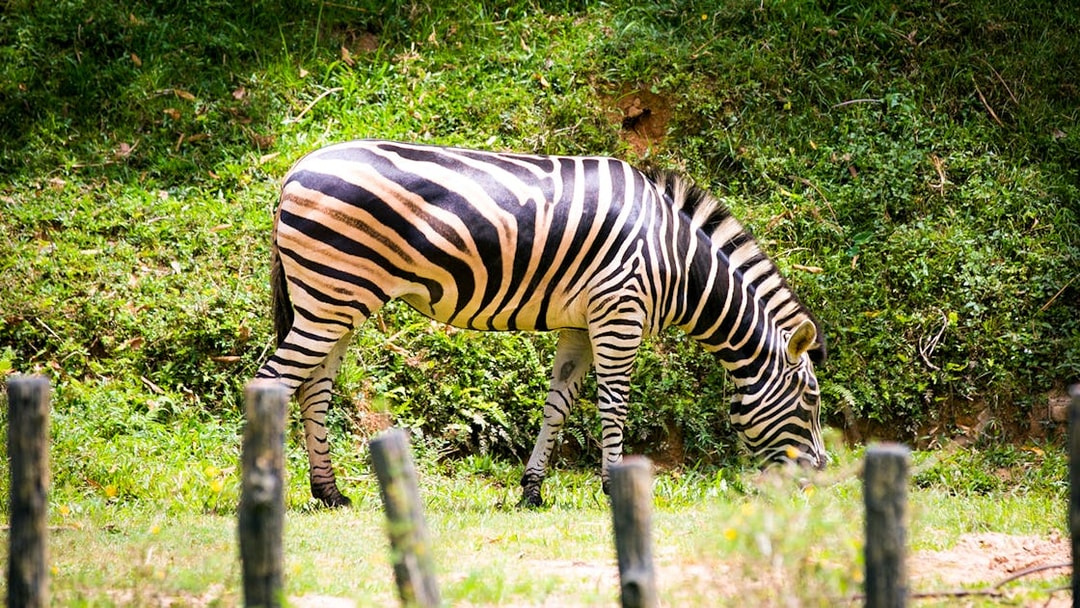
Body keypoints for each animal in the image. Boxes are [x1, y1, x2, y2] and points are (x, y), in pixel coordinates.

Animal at [254, 139, 827, 508]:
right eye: (811, 401)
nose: (821, 478)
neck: (677, 262)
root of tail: (296, 168)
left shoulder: (581, 324)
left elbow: (557, 405)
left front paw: (532, 490)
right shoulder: (620, 311)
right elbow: (613, 405)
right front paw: (613, 487)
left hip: (337, 301)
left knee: (313, 388)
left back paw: (330, 493)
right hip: (332, 294)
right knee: (272, 380)